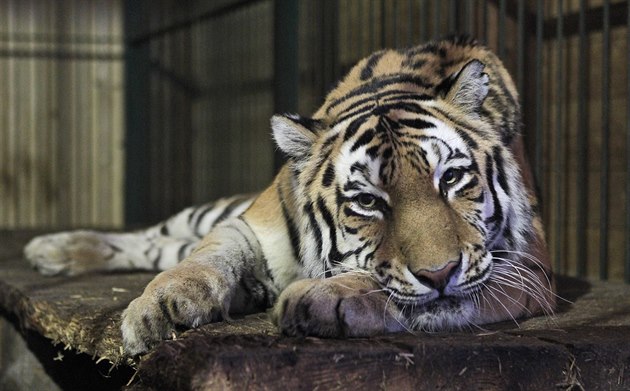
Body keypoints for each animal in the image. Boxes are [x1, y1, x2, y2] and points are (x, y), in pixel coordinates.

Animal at [24, 35, 556, 356]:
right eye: (368, 202)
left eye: (450, 179)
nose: (440, 273)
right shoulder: (248, 222)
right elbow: (205, 258)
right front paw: (162, 307)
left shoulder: (529, 270)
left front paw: (322, 298)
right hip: (202, 213)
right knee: (155, 237)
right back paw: (52, 249)